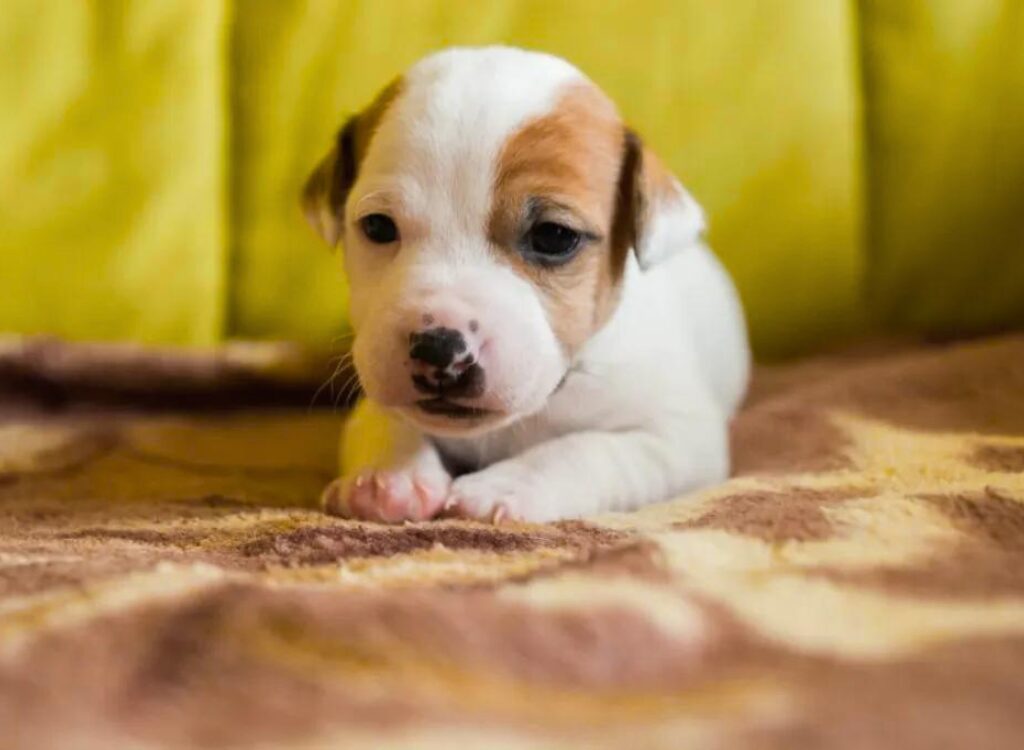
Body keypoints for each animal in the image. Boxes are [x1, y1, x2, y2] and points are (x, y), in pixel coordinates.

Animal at [299, 46, 749, 524]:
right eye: (378, 227)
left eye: (554, 236)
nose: (440, 348)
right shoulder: (376, 387)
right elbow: (384, 422)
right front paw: (387, 476)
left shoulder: (678, 436)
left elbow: (585, 451)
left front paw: (506, 485)